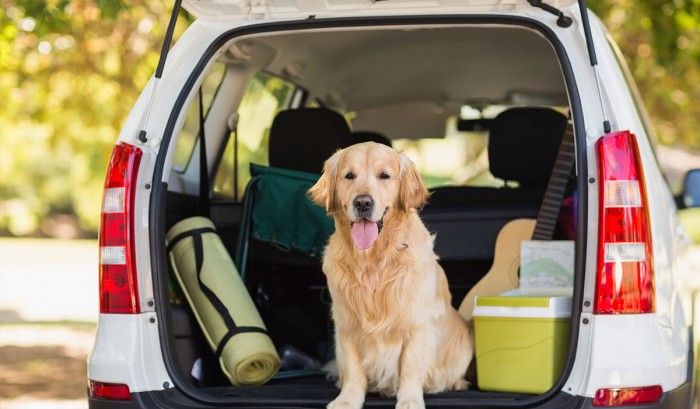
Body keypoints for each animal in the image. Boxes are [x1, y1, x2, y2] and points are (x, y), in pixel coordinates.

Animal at [308, 141, 474, 408]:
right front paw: (347, 400)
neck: (373, 262)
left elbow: (411, 367)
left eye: (384, 175)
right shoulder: (346, 323)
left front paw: (409, 401)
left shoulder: (417, 323)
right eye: (349, 176)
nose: (363, 203)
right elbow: (353, 370)